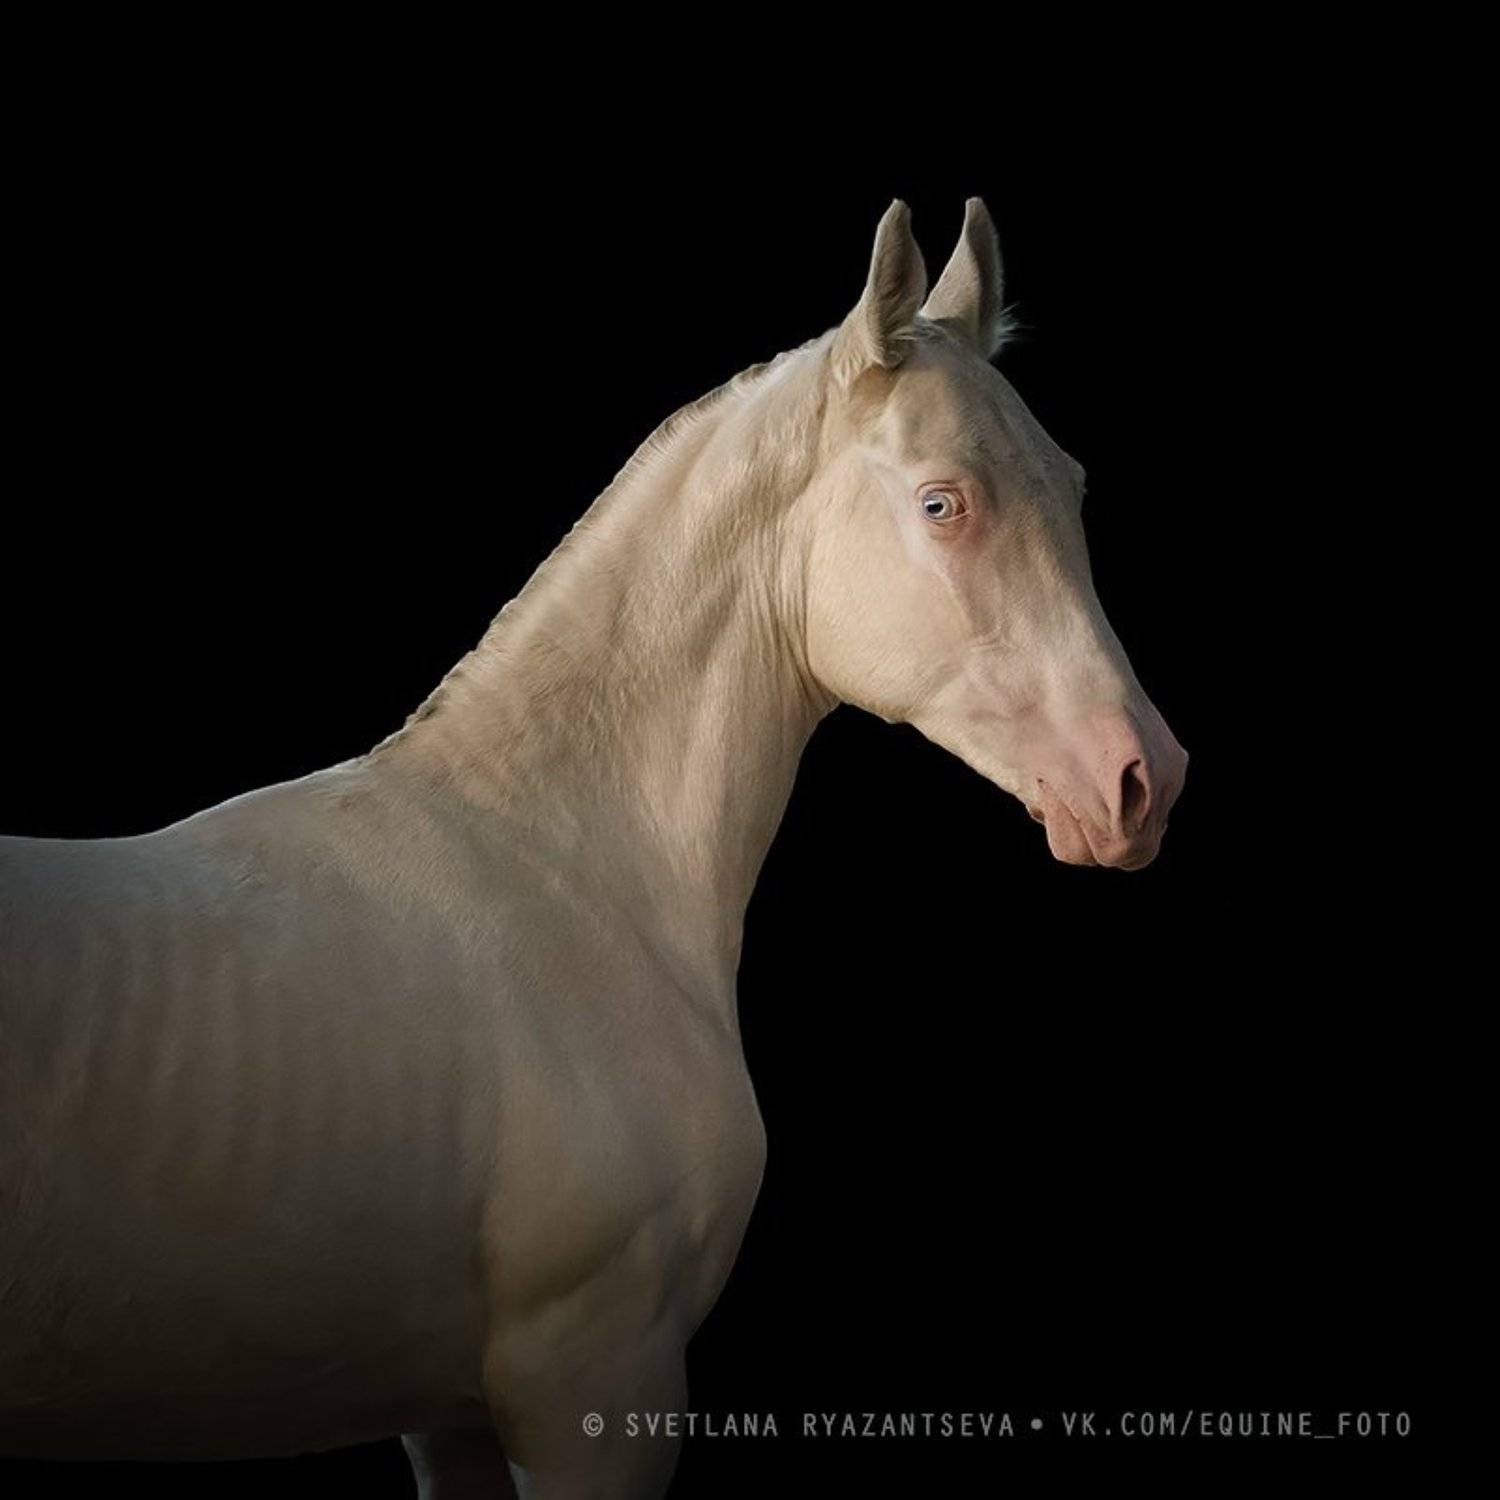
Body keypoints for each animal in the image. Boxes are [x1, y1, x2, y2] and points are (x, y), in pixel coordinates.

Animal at [0, 199, 1187, 1498]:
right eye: (942, 503)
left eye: (1072, 483)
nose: (1143, 780)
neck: (568, 877)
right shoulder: (595, 1388)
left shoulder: (453, 1420)